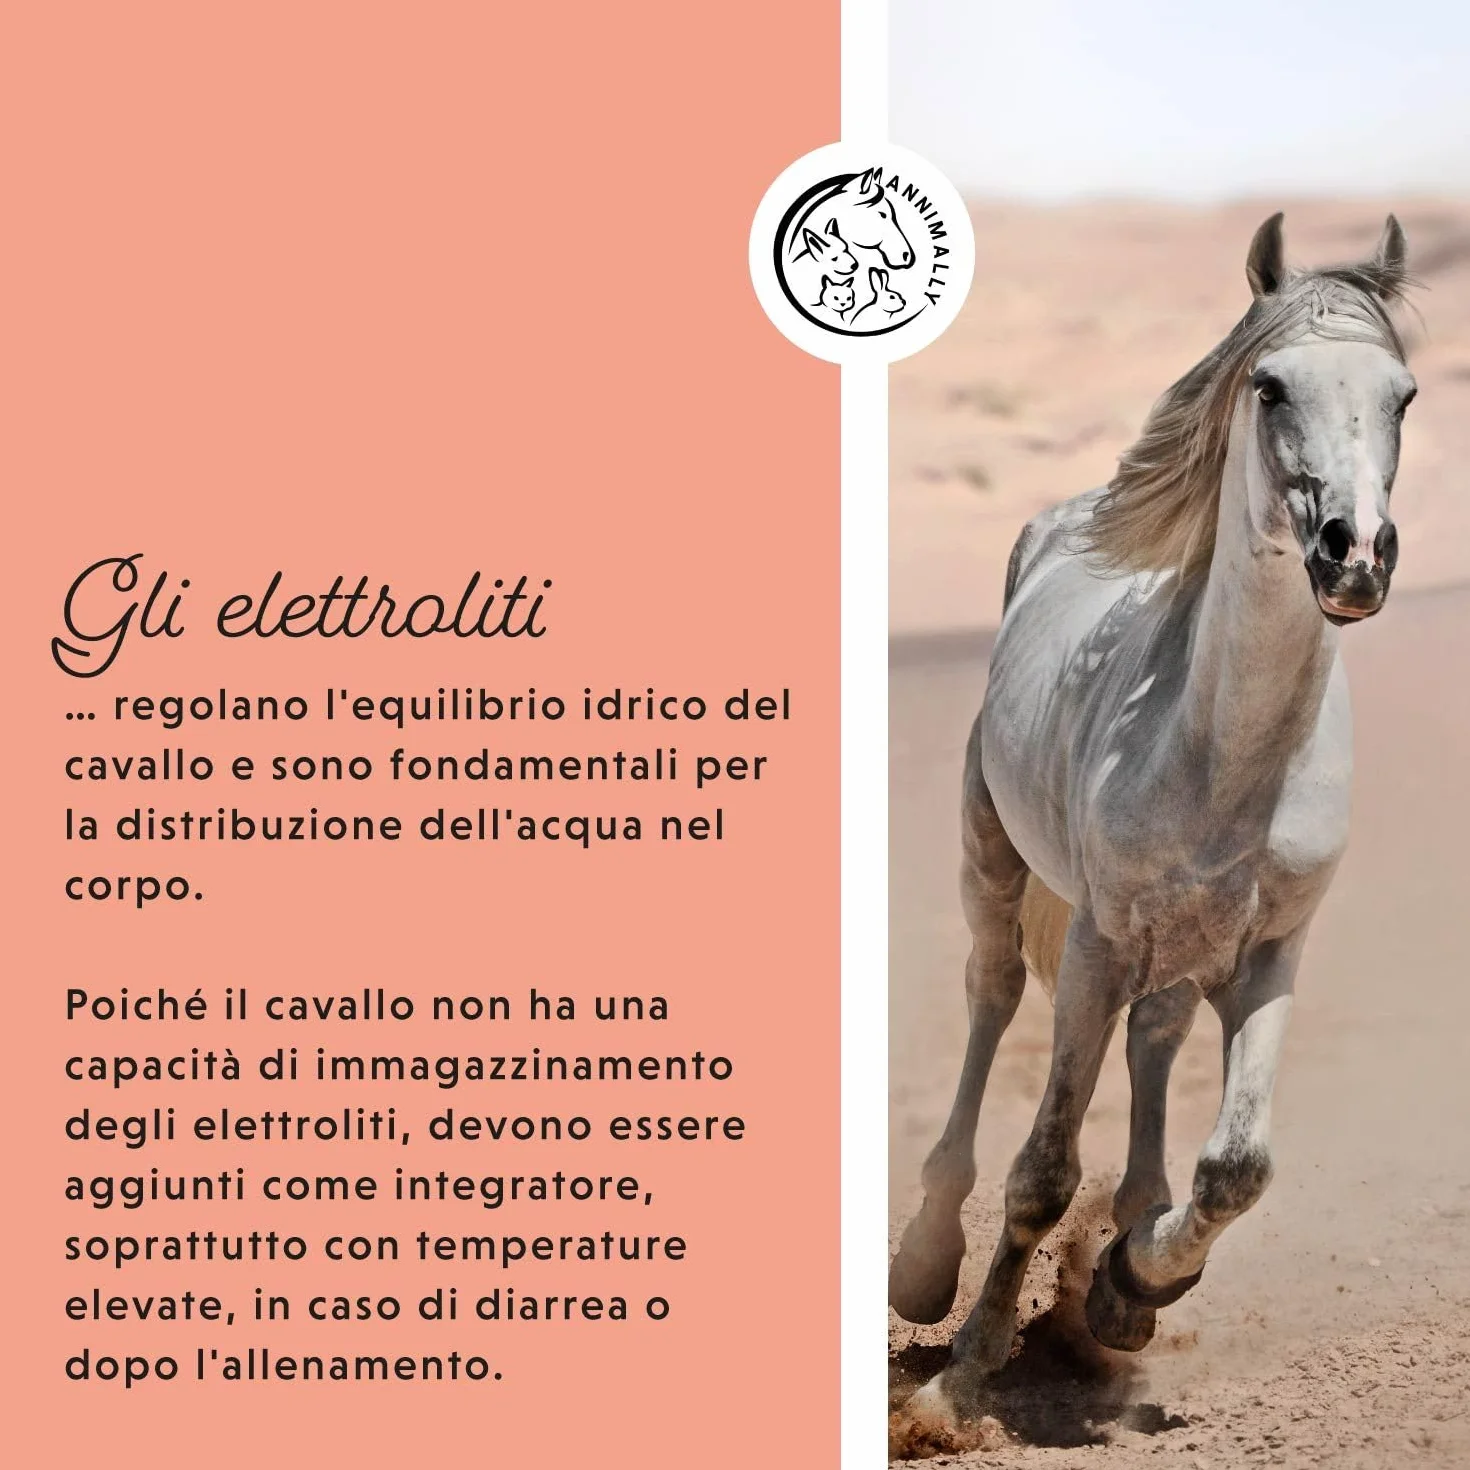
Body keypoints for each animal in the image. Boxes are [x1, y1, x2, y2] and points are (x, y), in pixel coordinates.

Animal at [889, 213, 1416, 1428]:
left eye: (1405, 395)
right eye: (1270, 385)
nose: (1353, 555)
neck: (1225, 754)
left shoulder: (1271, 952)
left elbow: (1238, 1167)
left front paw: (1135, 1281)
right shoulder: (1096, 942)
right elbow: (1042, 1170)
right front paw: (961, 1380)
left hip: (1183, 951)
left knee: (1157, 1040)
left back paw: (1131, 1246)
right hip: (995, 866)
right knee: (994, 1000)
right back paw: (926, 1264)